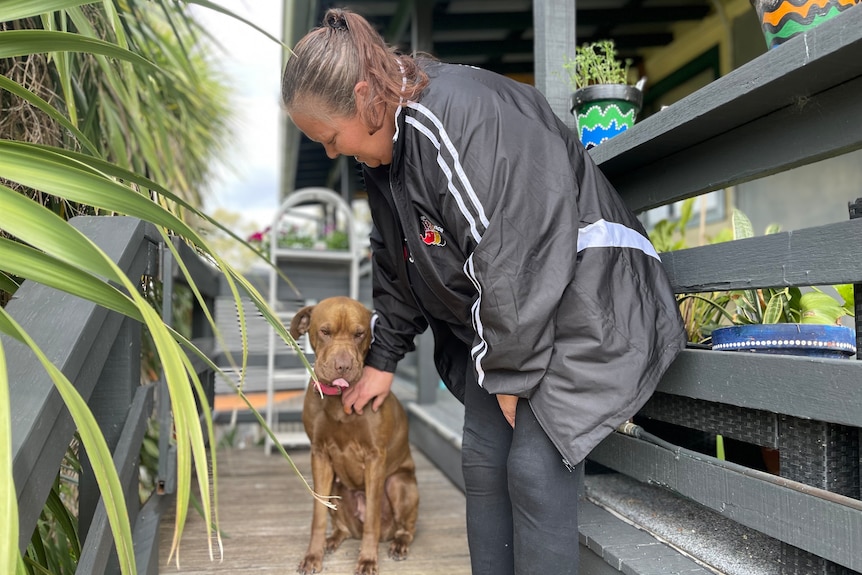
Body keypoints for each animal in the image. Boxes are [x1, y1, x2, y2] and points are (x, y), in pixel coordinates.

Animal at [292, 296, 420, 575]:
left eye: (359, 334)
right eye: (325, 331)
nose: (343, 366)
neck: (339, 401)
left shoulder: (374, 458)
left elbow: (371, 516)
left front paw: (368, 560)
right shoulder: (319, 455)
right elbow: (318, 515)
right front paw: (313, 556)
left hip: (401, 484)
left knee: (405, 527)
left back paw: (399, 543)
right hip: (337, 486)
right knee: (342, 527)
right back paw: (332, 539)